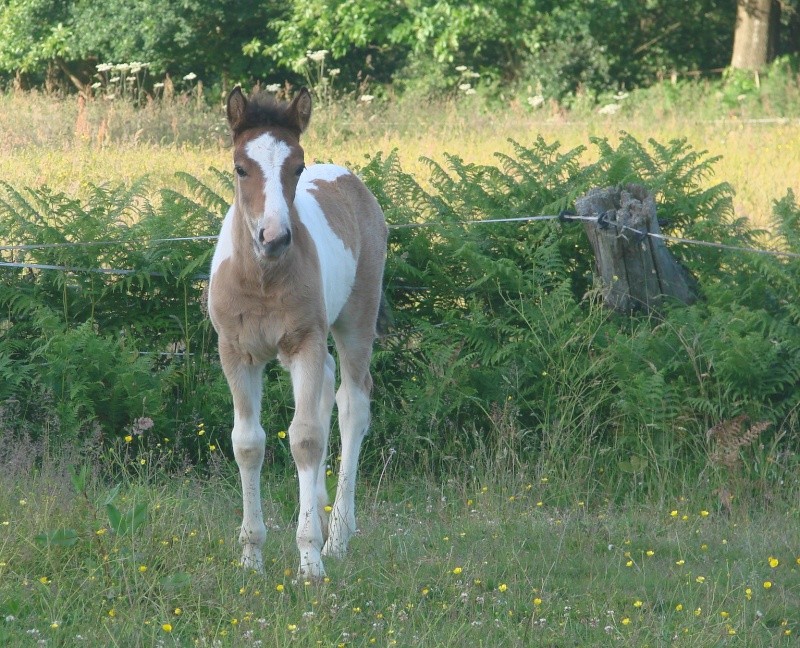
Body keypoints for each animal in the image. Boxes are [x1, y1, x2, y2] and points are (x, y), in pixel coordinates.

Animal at [209, 86, 388, 576]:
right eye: (240, 167)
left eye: (298, 167)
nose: (274, 237)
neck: (262, 280)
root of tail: (346, 176)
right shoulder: (235, 353)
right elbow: (247, 443)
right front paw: (251, 557)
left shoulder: (304, 341)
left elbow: (305, 438)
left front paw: (310, 559)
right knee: (328, 385)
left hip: (355, 322)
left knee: (351, 404)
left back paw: (338, 535)